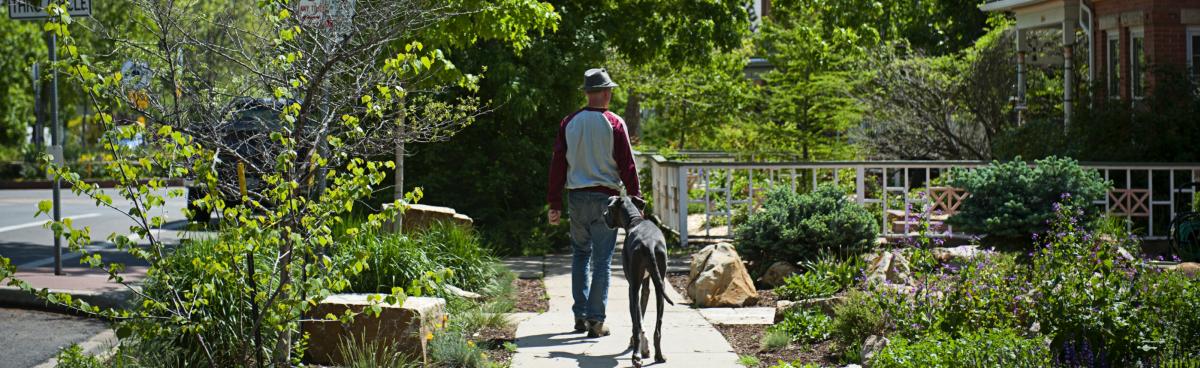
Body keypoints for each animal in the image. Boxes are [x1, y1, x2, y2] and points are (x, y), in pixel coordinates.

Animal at [604, 196, 672, 366]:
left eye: (609, 209)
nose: (603, 215)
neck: (635, 220)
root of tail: (650, 244)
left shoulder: (632, 286)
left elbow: (637, 319)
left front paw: (640, 348)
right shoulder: (646, 286)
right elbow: (642, 311)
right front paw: (645, 348)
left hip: (634, 286)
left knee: (637, 326)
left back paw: (636, 356)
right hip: (660, 287)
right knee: (658, 328)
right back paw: (659, 356)